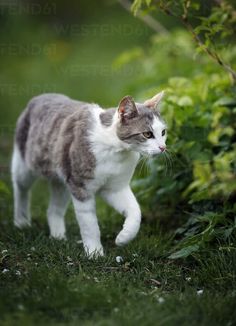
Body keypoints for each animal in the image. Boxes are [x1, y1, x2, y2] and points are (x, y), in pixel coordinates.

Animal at [11, 91, 166, 258]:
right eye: (147, 134)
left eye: (163, 132)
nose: (163, 147)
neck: (116, 151)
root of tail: (41, 96)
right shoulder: (81, 187)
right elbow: (90, 225)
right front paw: (94, 253)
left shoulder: (115, 188)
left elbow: (135, 211)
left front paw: (123, 238)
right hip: (25, 165)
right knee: (20, 188)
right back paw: (21, 221)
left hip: (63, 179)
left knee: (53, 209)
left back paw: (58, 236)